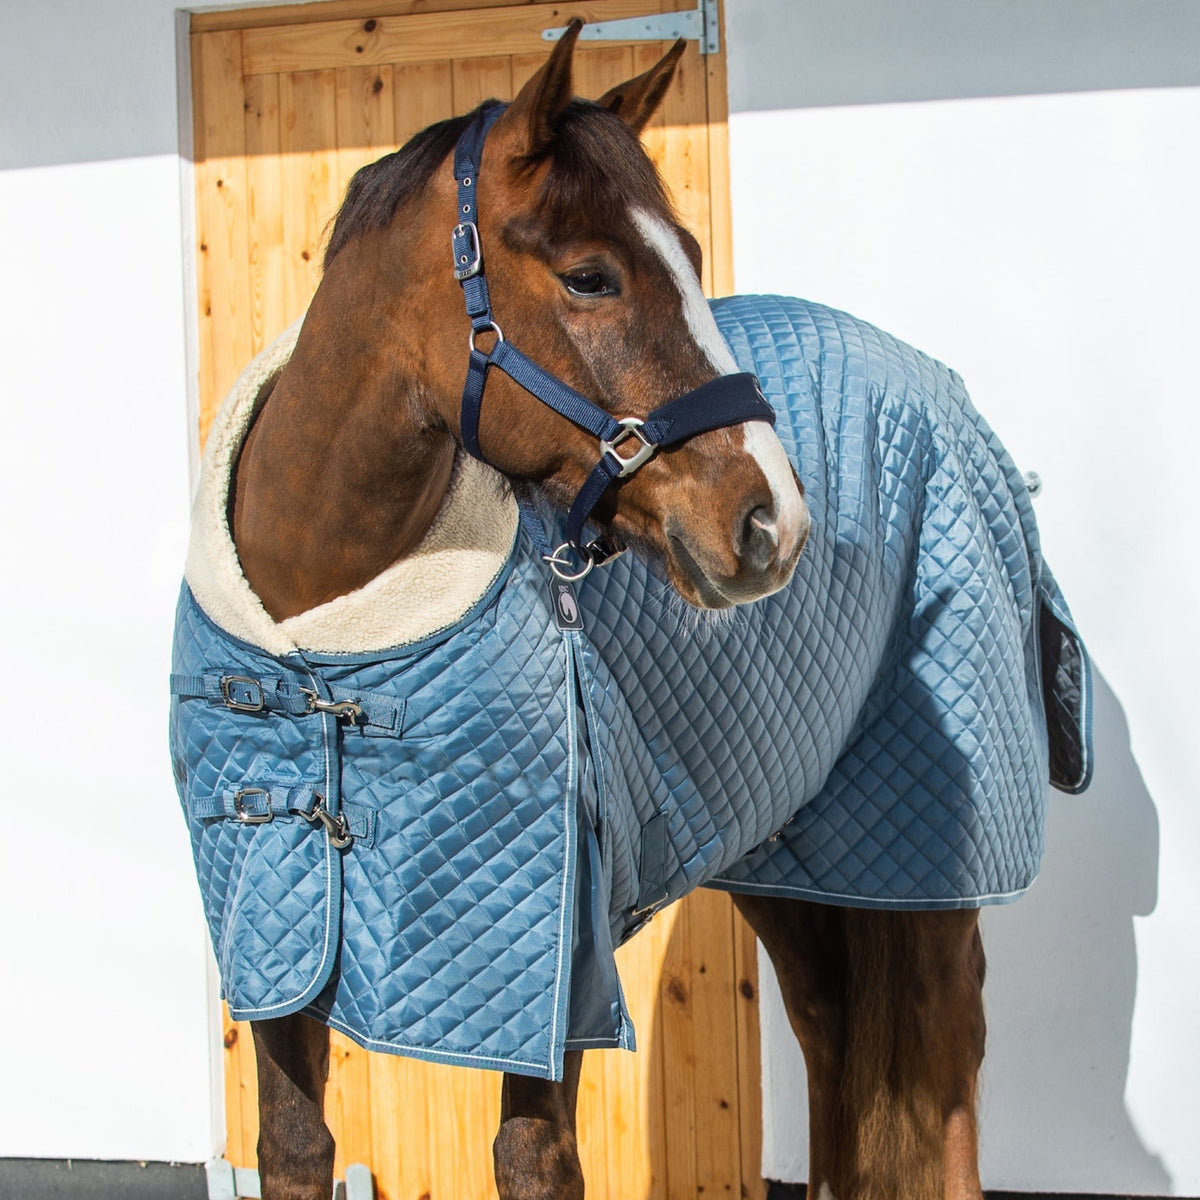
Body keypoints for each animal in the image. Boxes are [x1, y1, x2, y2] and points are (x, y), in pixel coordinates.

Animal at [171, 22, 1090, 1200]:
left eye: (691, 257)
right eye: (589, 275)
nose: (772, 519)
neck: (327, 655)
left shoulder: (552, 964)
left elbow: (533, 1159)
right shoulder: (275, 949)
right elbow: (294, 1147)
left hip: (932, 867)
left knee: (944, 1064)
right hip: (793, 848)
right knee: (834, 1037)